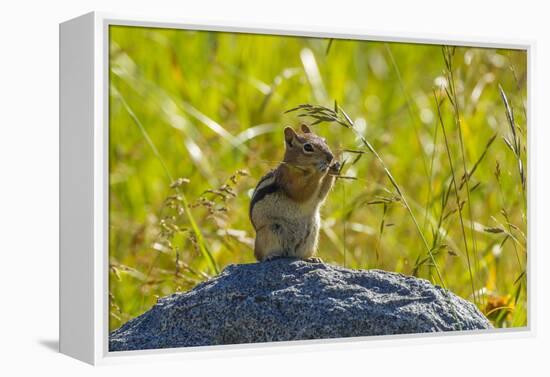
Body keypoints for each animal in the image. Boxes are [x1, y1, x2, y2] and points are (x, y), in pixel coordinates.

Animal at [248, 123, 338, 262]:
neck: (304, 171)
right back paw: (270, 256)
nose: (330, 157)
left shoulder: (317, 195)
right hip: (269, 232)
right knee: (260, 255)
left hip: (311, 236)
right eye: (308, 147)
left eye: (325, 141)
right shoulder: (289, 181)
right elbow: (301, 193)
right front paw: (321, 170)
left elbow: (321, 193)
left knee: (300, 255)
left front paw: (334, 167)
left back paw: (311, 258)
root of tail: (289, 253)